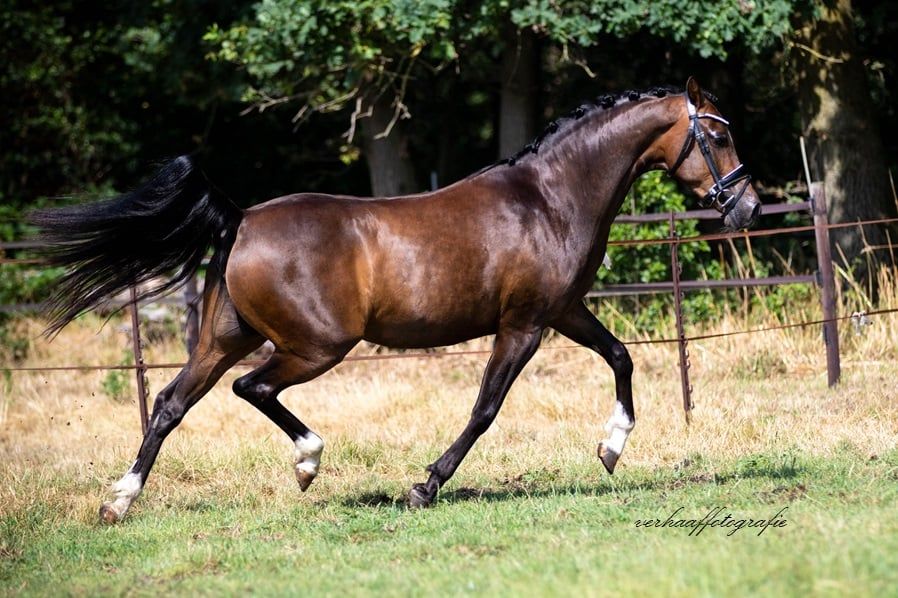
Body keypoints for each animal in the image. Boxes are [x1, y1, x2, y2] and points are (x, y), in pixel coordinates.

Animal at [32, 77, 760, 523]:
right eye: (719, 135)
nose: (747, 207)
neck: (550, 198)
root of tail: (240, 218)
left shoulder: (563, 311)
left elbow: (620, 357)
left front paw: (611, 448)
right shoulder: (522, 325)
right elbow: (485, 408)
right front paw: (423, 486)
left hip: (224, 337)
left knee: (170, 403)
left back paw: (119, 503)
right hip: (315, 346)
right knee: (252, 389)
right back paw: (308, 461)